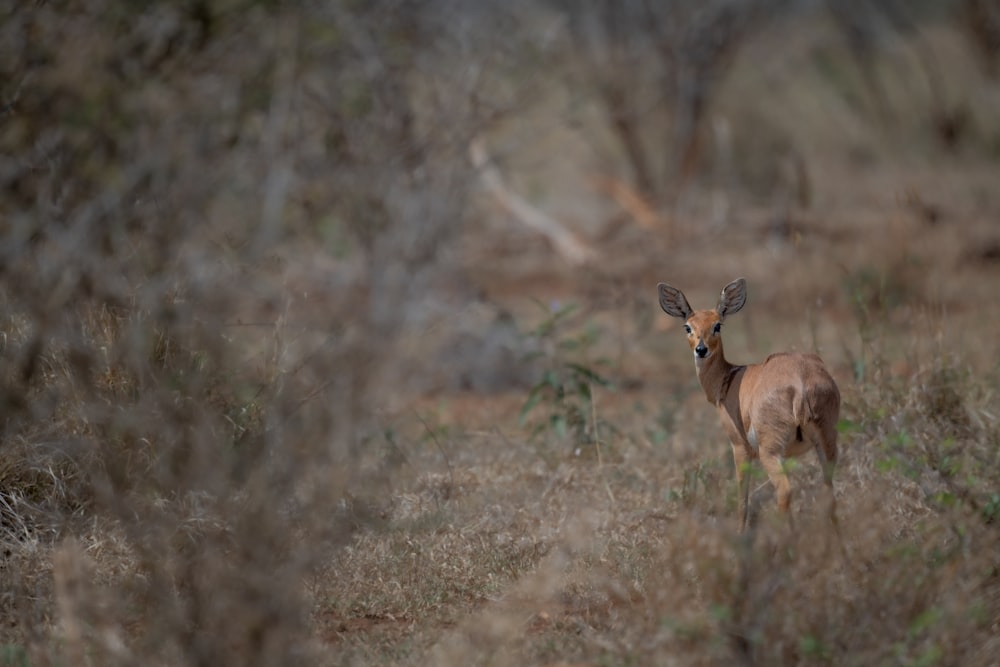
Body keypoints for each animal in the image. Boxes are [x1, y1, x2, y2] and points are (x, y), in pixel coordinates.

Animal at [656, 276, 844, 532]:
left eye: (717, 325)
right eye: (688, 327)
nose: (701, 349)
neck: (729, 379)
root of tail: (801, 382)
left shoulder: (739, 447)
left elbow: (742, 500)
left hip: (769, 450)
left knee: (785, 491)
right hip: (826, 441)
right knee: (829, 493)